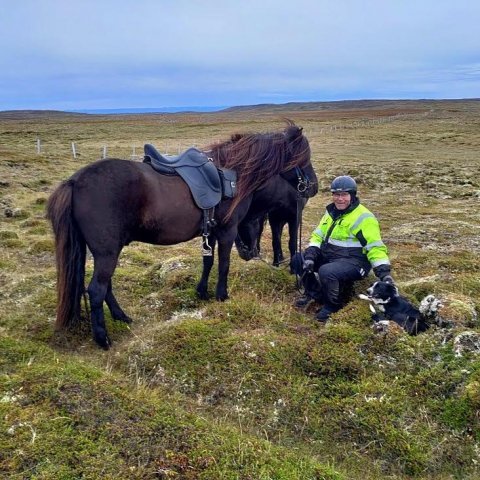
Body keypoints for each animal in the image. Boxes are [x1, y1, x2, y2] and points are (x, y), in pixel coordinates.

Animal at [47, 124, 316, 348]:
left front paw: (202, 292)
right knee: (96, 290)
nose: (312, 186)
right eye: (304, 157)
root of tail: (74, 181)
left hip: (105, 252)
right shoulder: (227, 231)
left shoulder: (211, 232)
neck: (234, 173)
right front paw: (221, 295)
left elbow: (208, 262)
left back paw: (121, 316)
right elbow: (224, 265)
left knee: (106, 287)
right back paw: (103, 338)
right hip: (107, 252)